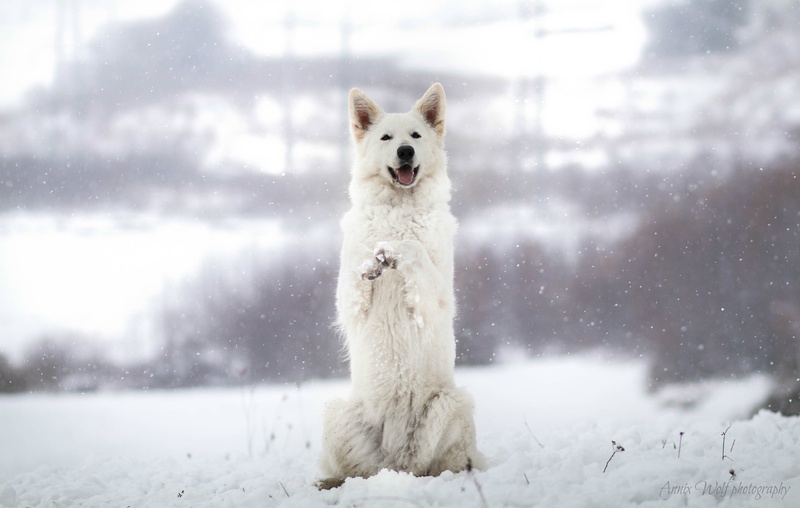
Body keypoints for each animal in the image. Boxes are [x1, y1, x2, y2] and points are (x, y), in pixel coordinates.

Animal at [318, 83, 483, 489]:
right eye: (386, 138)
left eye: (416, 136)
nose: (405, 151)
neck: (399, 209)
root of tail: (397, 461)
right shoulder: (347, 299)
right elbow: (356, 262)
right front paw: (371, 259)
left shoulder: (438, 296)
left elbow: (412, 249)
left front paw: (393, 250)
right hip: (336, 414)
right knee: (355, 472)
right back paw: (329, 482)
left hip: (450, 404)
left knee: (438, 465)